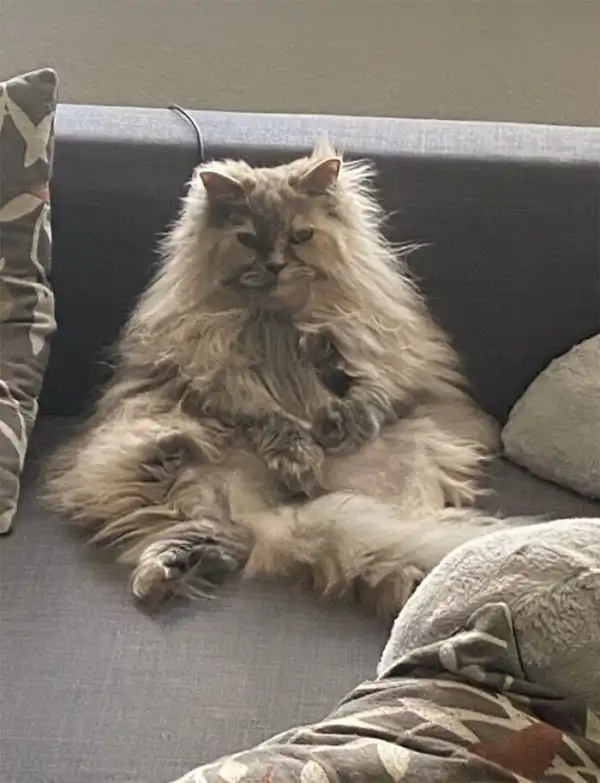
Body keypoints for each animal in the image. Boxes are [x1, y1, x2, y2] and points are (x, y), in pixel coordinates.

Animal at [45, 140, 508, 618]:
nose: (276, 265)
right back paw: (172, 491)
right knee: (203, 515)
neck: (279, 326)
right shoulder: (217, 379)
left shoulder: (388, 356)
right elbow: (268, 415)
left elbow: (369, 390)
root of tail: (279, 515)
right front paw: (298, 455)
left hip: (410, 465)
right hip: (160, 461)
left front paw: (341, 412)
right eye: (249, 239)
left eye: (300, 236)